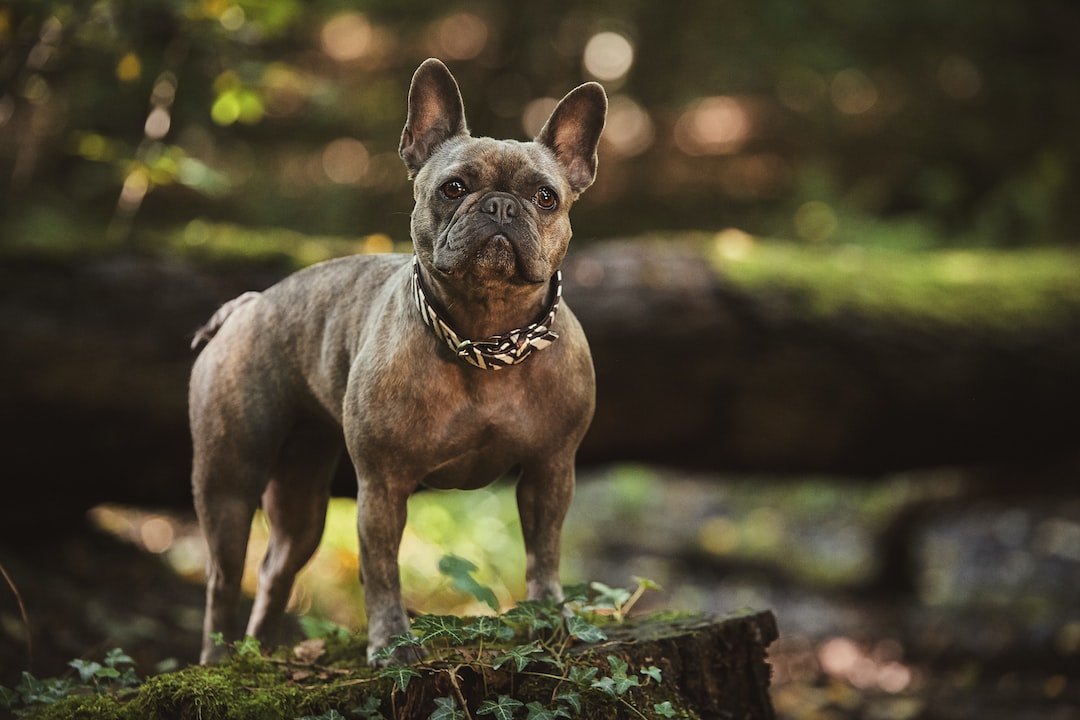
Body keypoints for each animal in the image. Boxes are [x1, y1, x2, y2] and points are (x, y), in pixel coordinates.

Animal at [189, 59, 604, 669]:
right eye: (453, 188)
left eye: (546, 197)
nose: (501, 205)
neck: (486, 337)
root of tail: (248, 304)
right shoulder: (382, 486)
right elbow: (381, 570)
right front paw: (390, 643)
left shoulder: (550, 470)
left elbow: (544, 554)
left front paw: (549, 619)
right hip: (229, 480)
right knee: (223, 579)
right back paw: (220, 663)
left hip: (301, 495)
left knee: (275, 568)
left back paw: (259, 655)